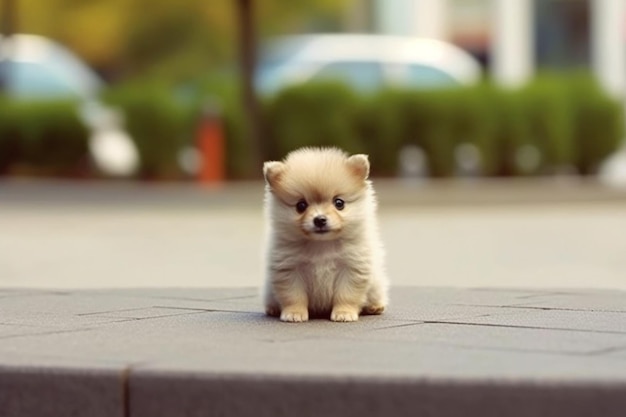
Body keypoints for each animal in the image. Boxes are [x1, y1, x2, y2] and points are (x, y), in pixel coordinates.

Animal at [260, 146, 388, 322]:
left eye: (339, 203)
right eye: (301, 206)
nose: (320, 219)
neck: (321, 245)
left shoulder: (352, 268)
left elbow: (346, 295)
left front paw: (344, 313)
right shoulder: (289, 269)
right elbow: (294, 296)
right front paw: (294, 313)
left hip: (375, 285)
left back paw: (374, 307)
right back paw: (272, 309)